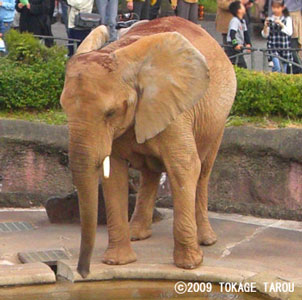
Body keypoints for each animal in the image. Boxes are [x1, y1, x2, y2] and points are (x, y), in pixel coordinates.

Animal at [60, 17, 237, 278]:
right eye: (64, 109)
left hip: (218, 120)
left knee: (203, 171)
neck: (117, 55)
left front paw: (189, 265)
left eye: (110, 113)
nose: (83, 272)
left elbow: (184, 168)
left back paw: (206, 240)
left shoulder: (177, 111)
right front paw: (117, 262)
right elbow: (114, 174)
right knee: (150, 173)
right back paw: (137, 234)